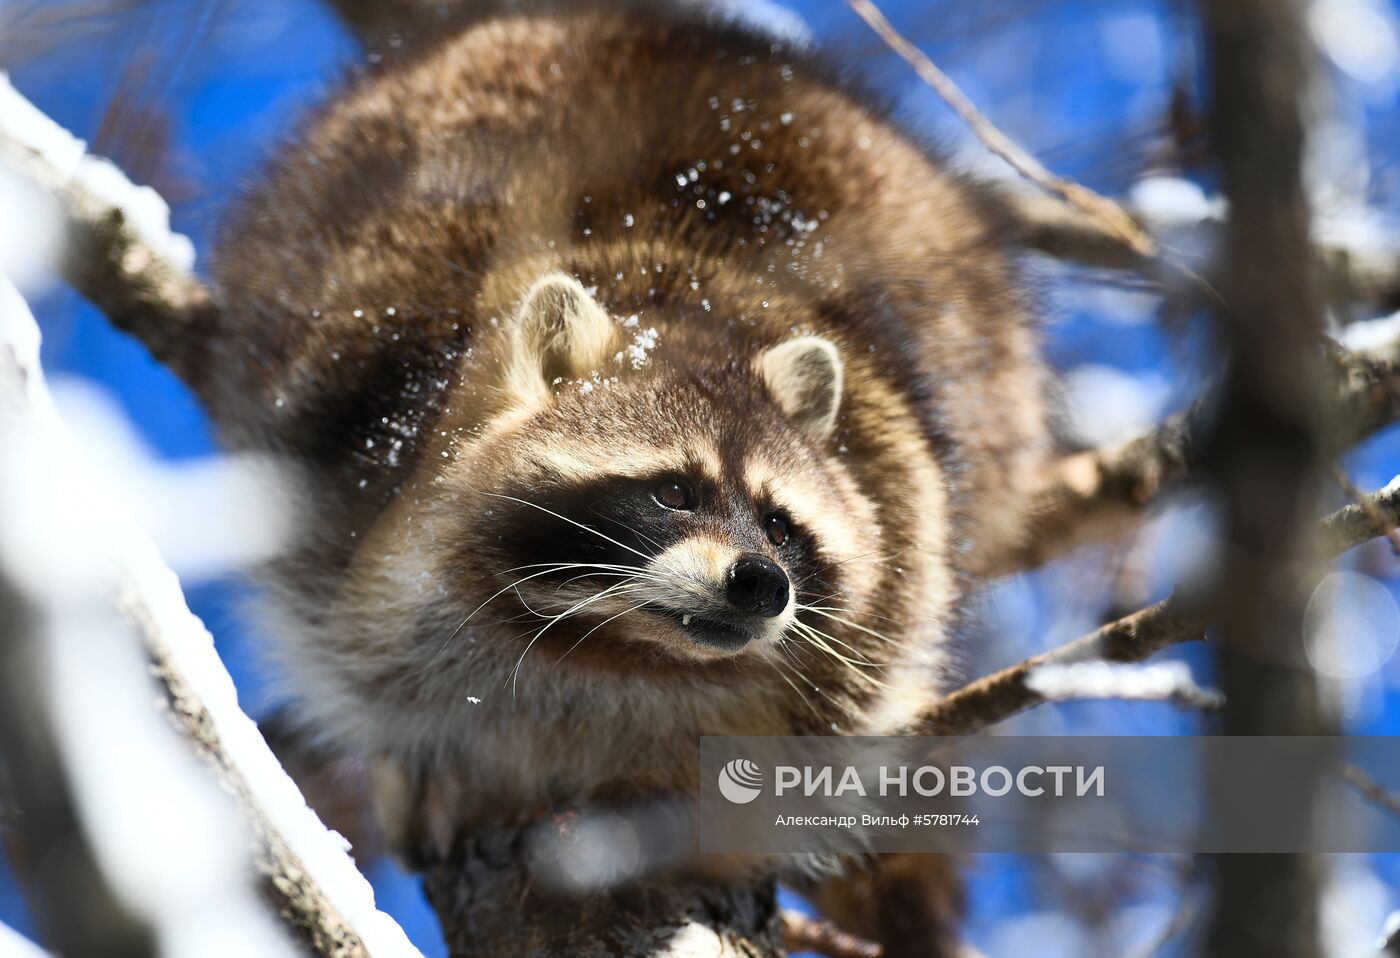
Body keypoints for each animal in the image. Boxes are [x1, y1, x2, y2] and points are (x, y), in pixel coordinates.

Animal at [203, 1, 1047, 952]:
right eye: (675, 491)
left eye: (780, 524)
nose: (762, 582)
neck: (621, 648)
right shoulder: (345, 461)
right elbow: (348, 647)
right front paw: (421, 757)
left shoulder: (901, 532)